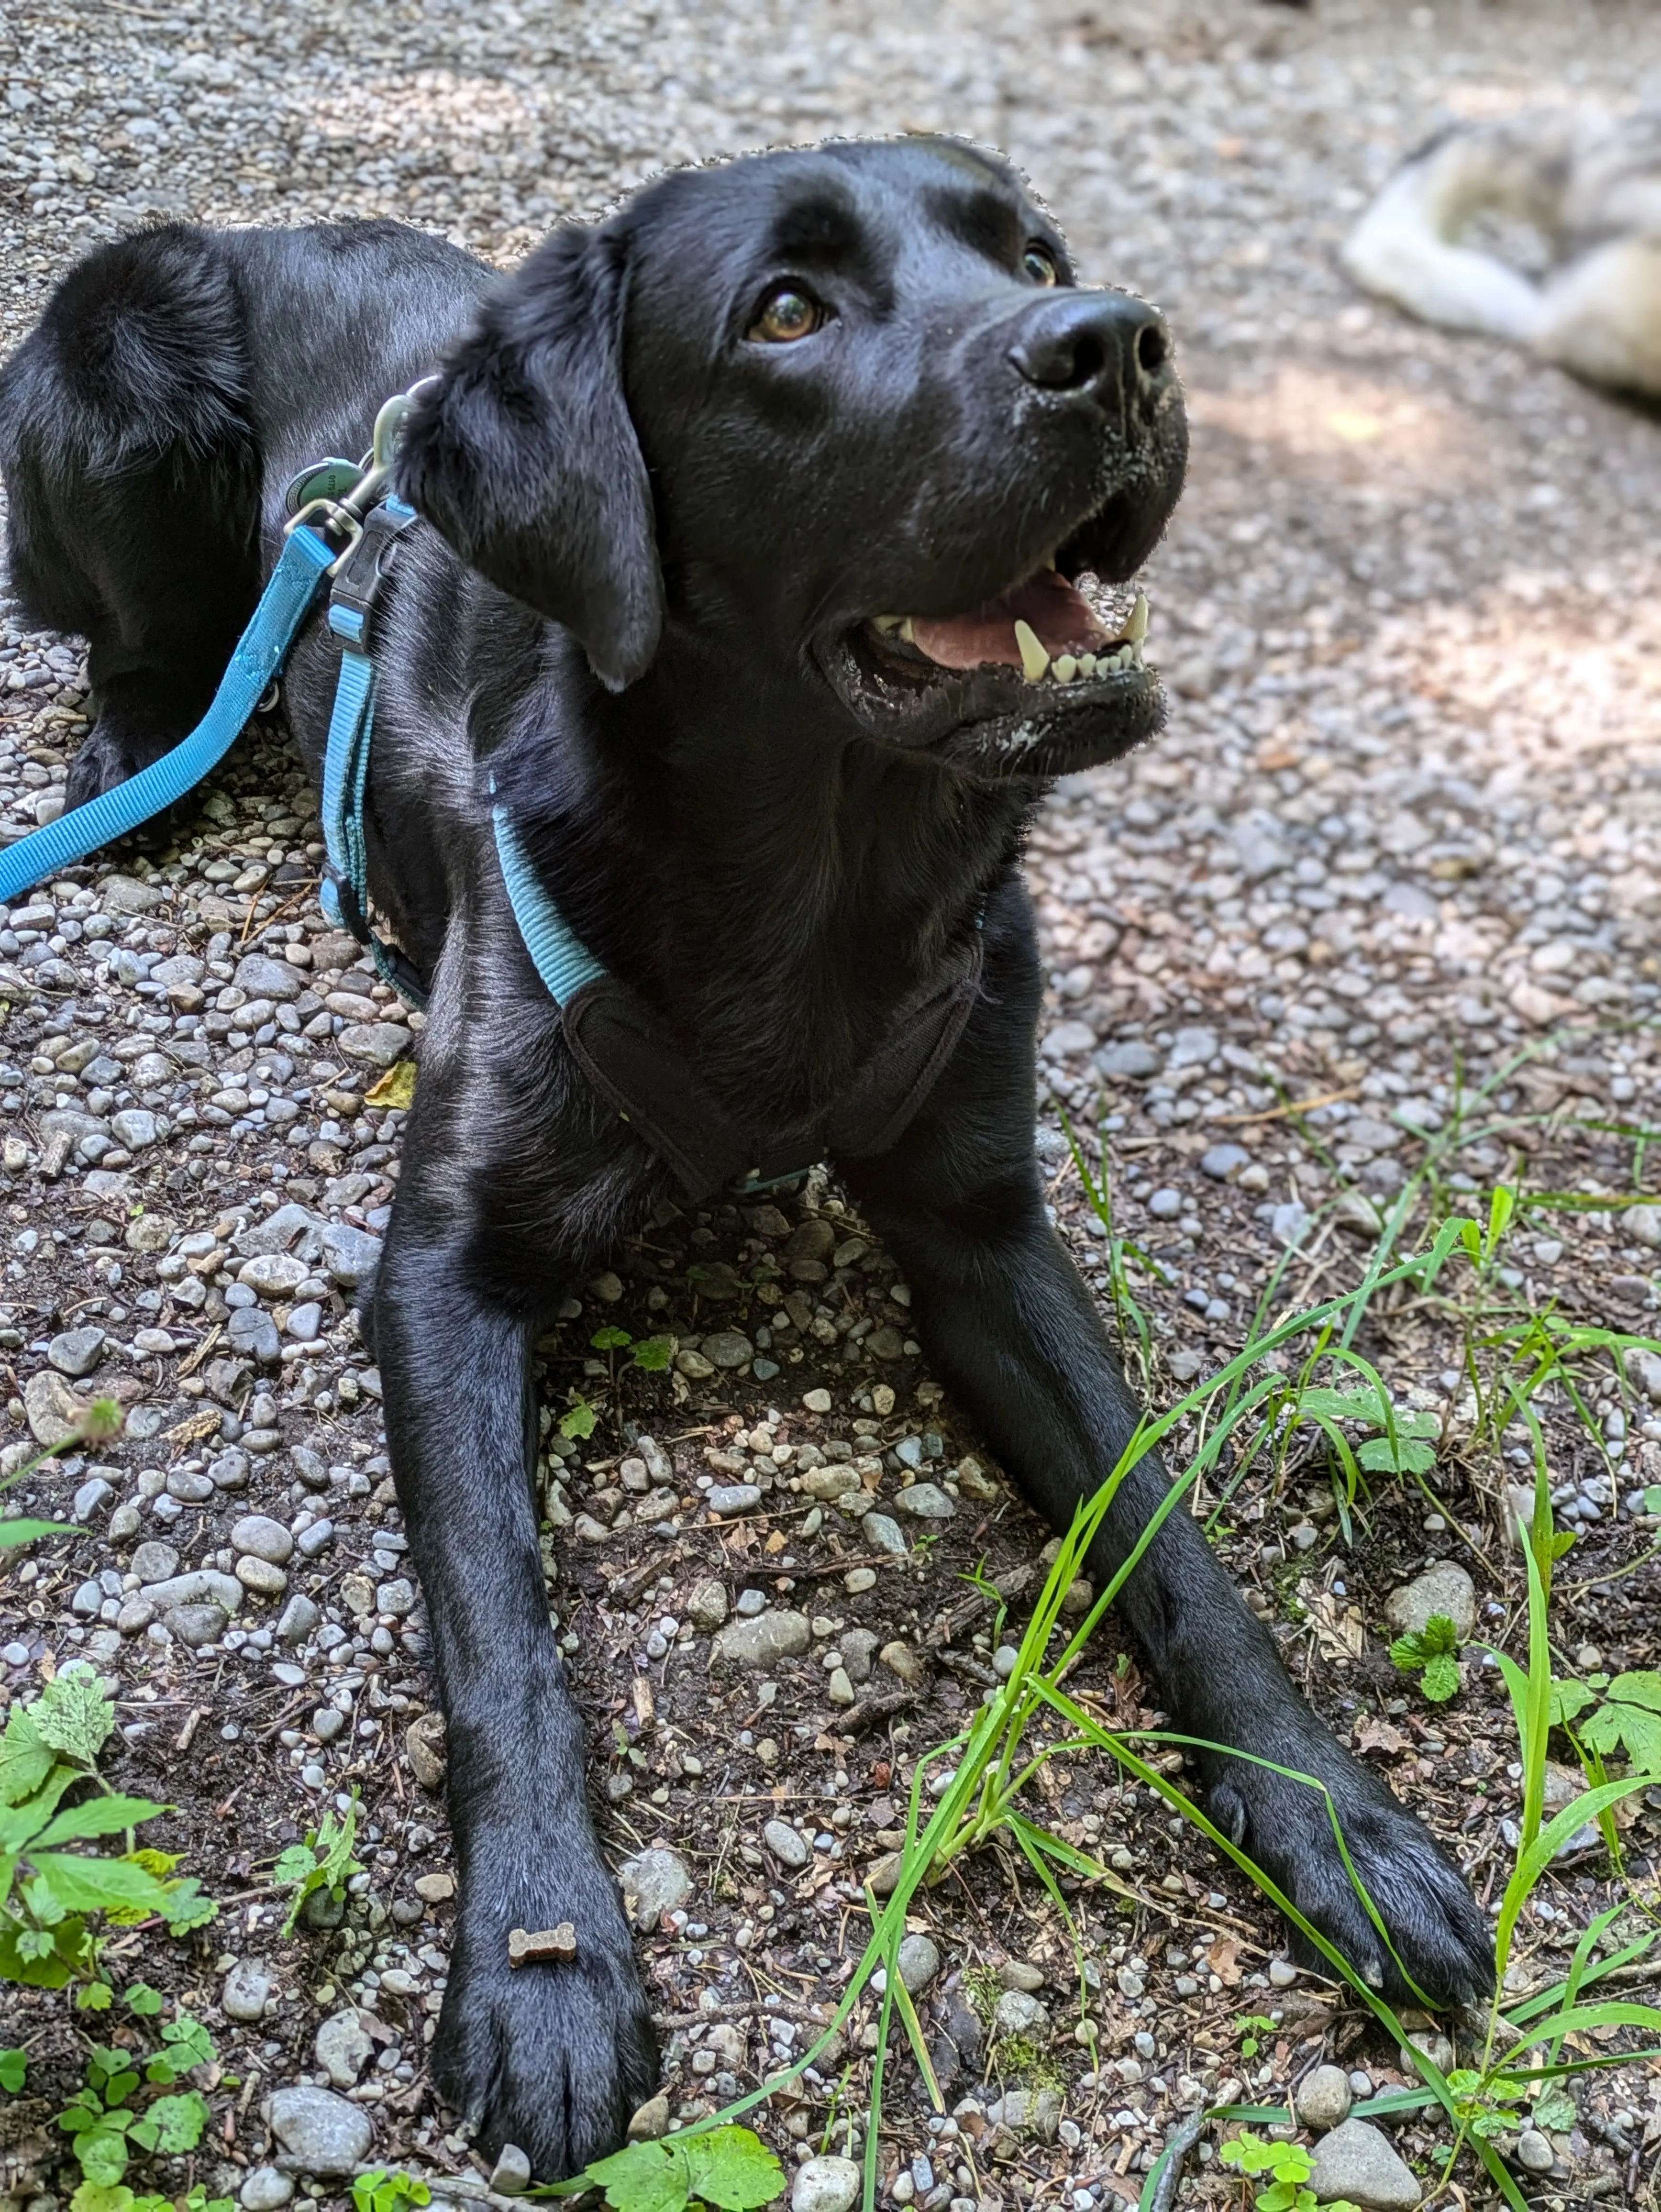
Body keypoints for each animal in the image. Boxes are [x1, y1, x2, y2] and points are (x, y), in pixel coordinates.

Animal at [0, 143, 1504, 2177]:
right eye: (785, 313)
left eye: (1030, 250)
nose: (1116, 342)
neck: (817, 883)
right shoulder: (442, 1272)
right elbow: (501, 1634)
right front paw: (545, 1964)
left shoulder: (984, 1227)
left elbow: (1166, 1536)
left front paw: (1330, 1817)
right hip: (118, 379)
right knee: (127, 646)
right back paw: (128, 748)